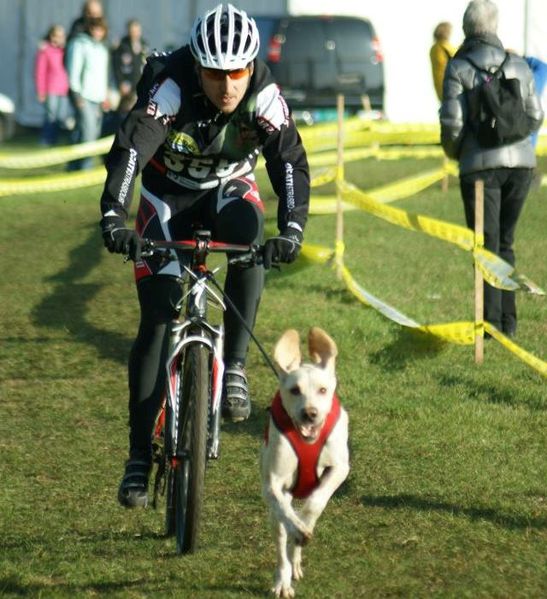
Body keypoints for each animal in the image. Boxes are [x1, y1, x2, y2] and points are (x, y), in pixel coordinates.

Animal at [262, 330, 352, 596]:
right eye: (295, 390)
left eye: (323, 390)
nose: (309, 413)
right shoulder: (272, 483)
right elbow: (284, 510)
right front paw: (298, 528)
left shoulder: (340, 468)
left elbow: (315, 502)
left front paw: (305, 521)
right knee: (281, 540)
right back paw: (283, 580)